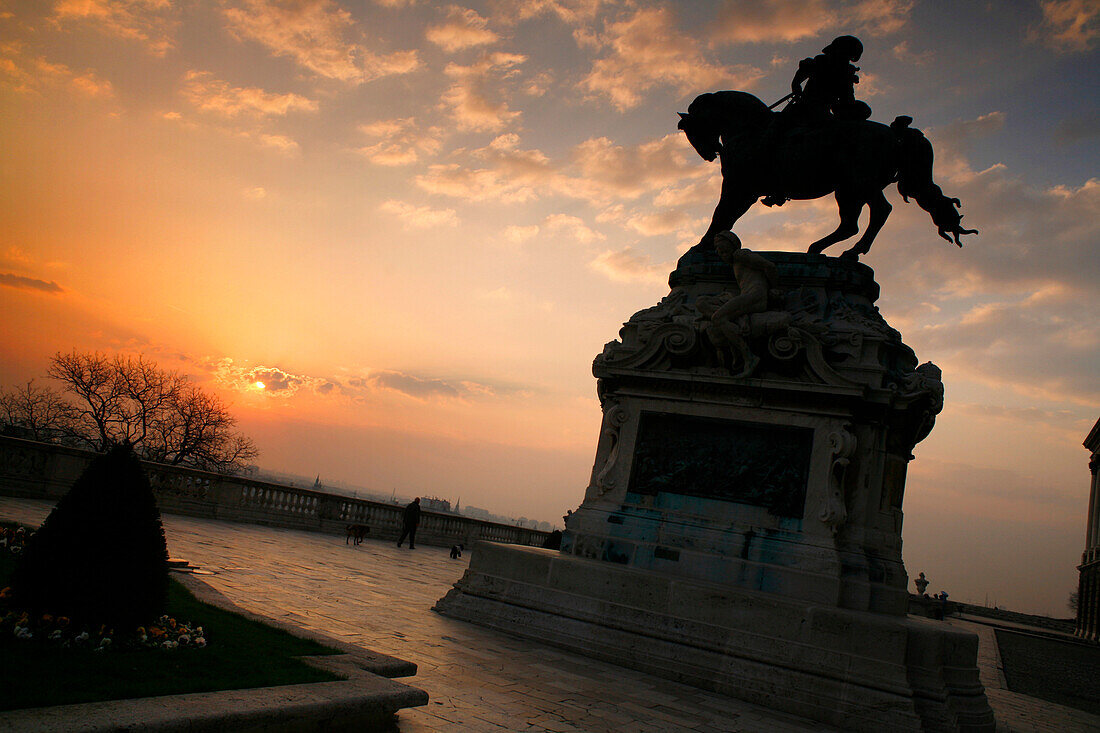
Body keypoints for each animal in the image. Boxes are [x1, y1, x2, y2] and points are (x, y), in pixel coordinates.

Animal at [677, 91, 981, 258]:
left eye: (690, 129)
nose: (708, 153)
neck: (750, 128)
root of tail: (895, 133)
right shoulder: (744, 190)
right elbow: (727, 217)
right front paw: (709, 244)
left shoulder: (738, 186)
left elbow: (721, 214)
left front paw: (702, 245)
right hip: (849, 190)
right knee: (851, 224)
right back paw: (821, 249)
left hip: (860, 183)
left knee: (880, 211)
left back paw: (850, 252)